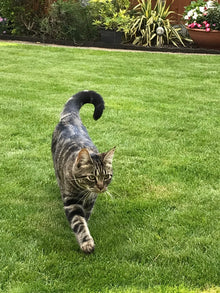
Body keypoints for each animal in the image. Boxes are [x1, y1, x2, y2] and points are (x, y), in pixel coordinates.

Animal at [51, 90, 115, 252]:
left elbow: (86, 216)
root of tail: (70, 117)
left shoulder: (91, 200)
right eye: (92, 177)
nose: (101, 187)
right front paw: (86, 242)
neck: (84, 191)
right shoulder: (71, 202)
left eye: (106, 176)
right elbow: (79, 223)